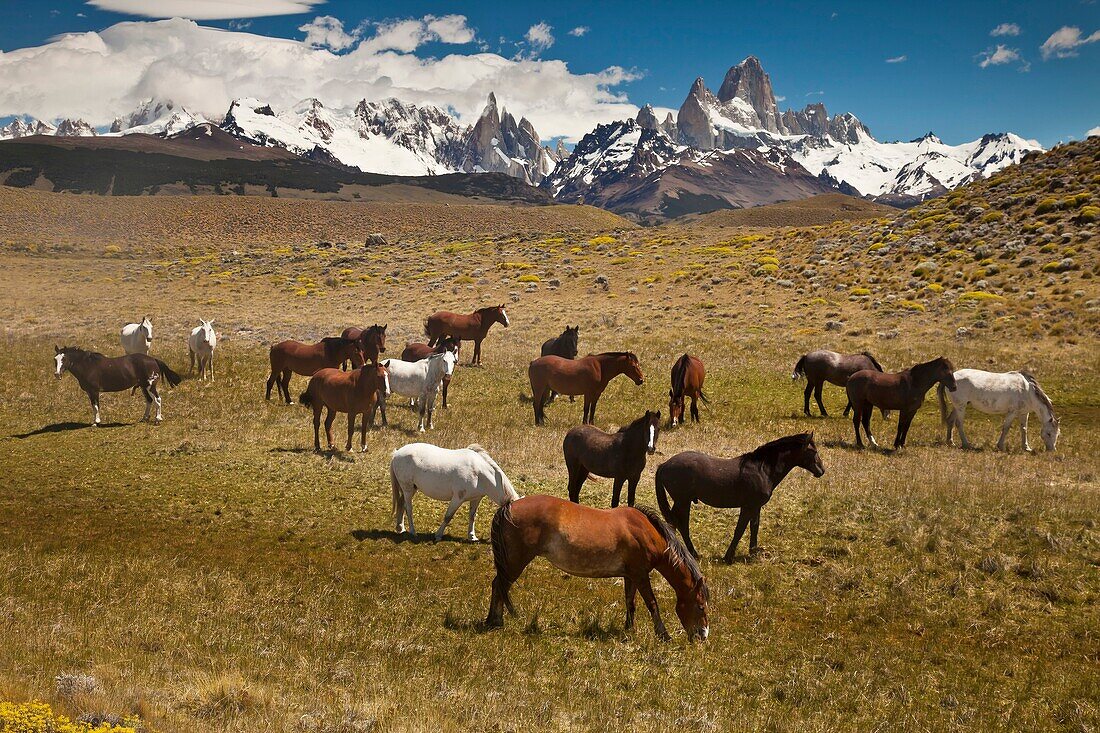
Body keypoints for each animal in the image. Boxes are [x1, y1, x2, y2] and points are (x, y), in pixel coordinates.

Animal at [53, 345, 181, 424]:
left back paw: (158, 419)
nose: (57, 374)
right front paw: (95, 421)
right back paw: (144, 418)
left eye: (64, 359)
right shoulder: (90, 392)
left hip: (150, 386)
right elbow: (93, 406)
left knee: (157, 400)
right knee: (149, 401)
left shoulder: (94, 391)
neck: (88, 365)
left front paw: (96, 422)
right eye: (55, 359)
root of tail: (153, 360)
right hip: (144, 386)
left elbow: (96, 406)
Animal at [389, 442, 521, 539]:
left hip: (412, 489)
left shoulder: (476, 498)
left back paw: (401, 528)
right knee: (408, 508)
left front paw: (472, 536)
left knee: (401, 504)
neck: (479, 473)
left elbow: (472, 516)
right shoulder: (458, 498)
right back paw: (412, 531)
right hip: (407, 489)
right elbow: (448, 516)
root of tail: (397, 453)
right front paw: (438, 535)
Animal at [486, 490, 708, 638]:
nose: (703, 635)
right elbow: (652, 603)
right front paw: (663, 634)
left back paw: (492, 620)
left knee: (498, 585)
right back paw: (496, 621)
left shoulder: (631, 575)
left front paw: (629, 629)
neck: (645, 532)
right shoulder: (641, 575)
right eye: (700, 606)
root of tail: (507, 507)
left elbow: (630, 602)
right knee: (499, 585)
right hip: (515, 562)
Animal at [651, 431, 827, 561]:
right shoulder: (748, 507)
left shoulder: (756, 507)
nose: (822, 470)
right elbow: (740, 530)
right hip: (683, 501)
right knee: (680, 524)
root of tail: (664, 465)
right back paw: (691, 553)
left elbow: (754, 527)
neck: (762, 469)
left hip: (682, 502)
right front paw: (728, 556)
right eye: (813, 451)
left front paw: (753, 552)